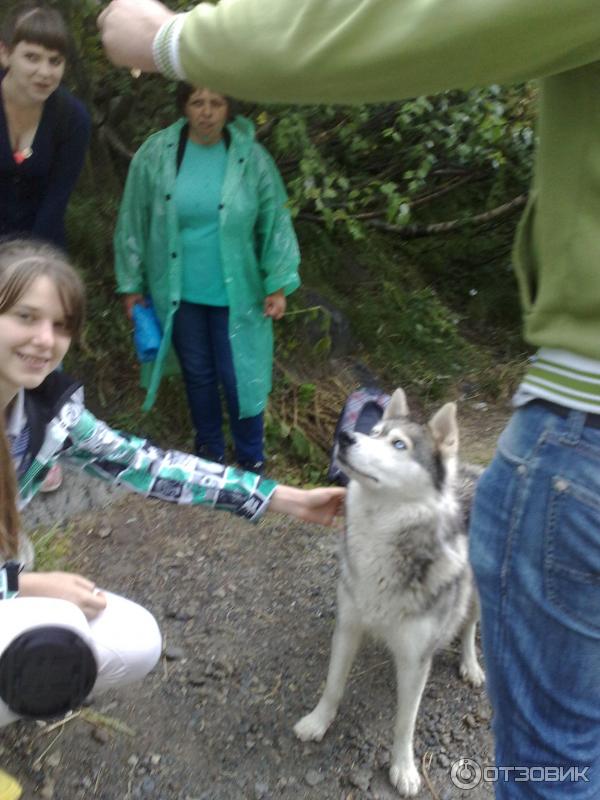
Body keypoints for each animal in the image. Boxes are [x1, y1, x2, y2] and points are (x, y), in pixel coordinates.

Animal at [292, 386, 486, 792]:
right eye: (373, 432)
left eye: (399, 444)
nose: (345, 437)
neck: (380, 536)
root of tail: (471, 470)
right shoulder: (348, 627)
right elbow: (333, 686)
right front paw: (318, 722)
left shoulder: (415, 659)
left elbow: (404, 723)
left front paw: (404, 768)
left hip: (477, 596)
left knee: (468, 626)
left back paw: (470, 665)